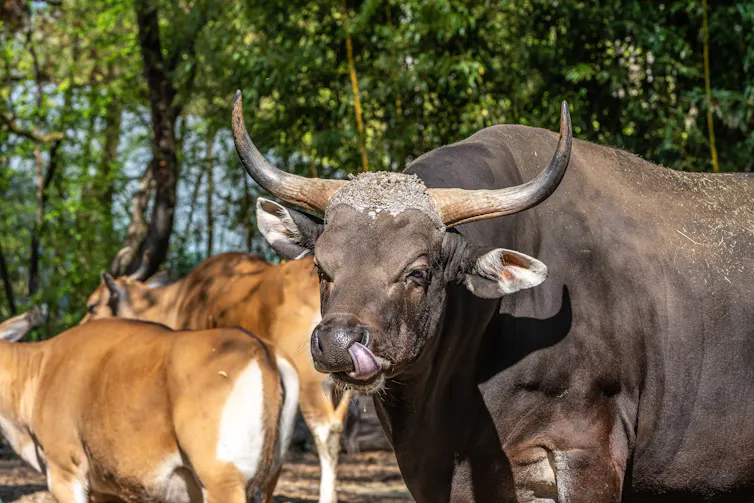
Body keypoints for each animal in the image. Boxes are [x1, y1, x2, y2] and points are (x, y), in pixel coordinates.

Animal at [0, 315, 298, 503]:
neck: (36, 372)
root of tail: (261, 349)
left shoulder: (65, 472)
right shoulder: (106, 490)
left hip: (221, 481)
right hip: (268, 480)